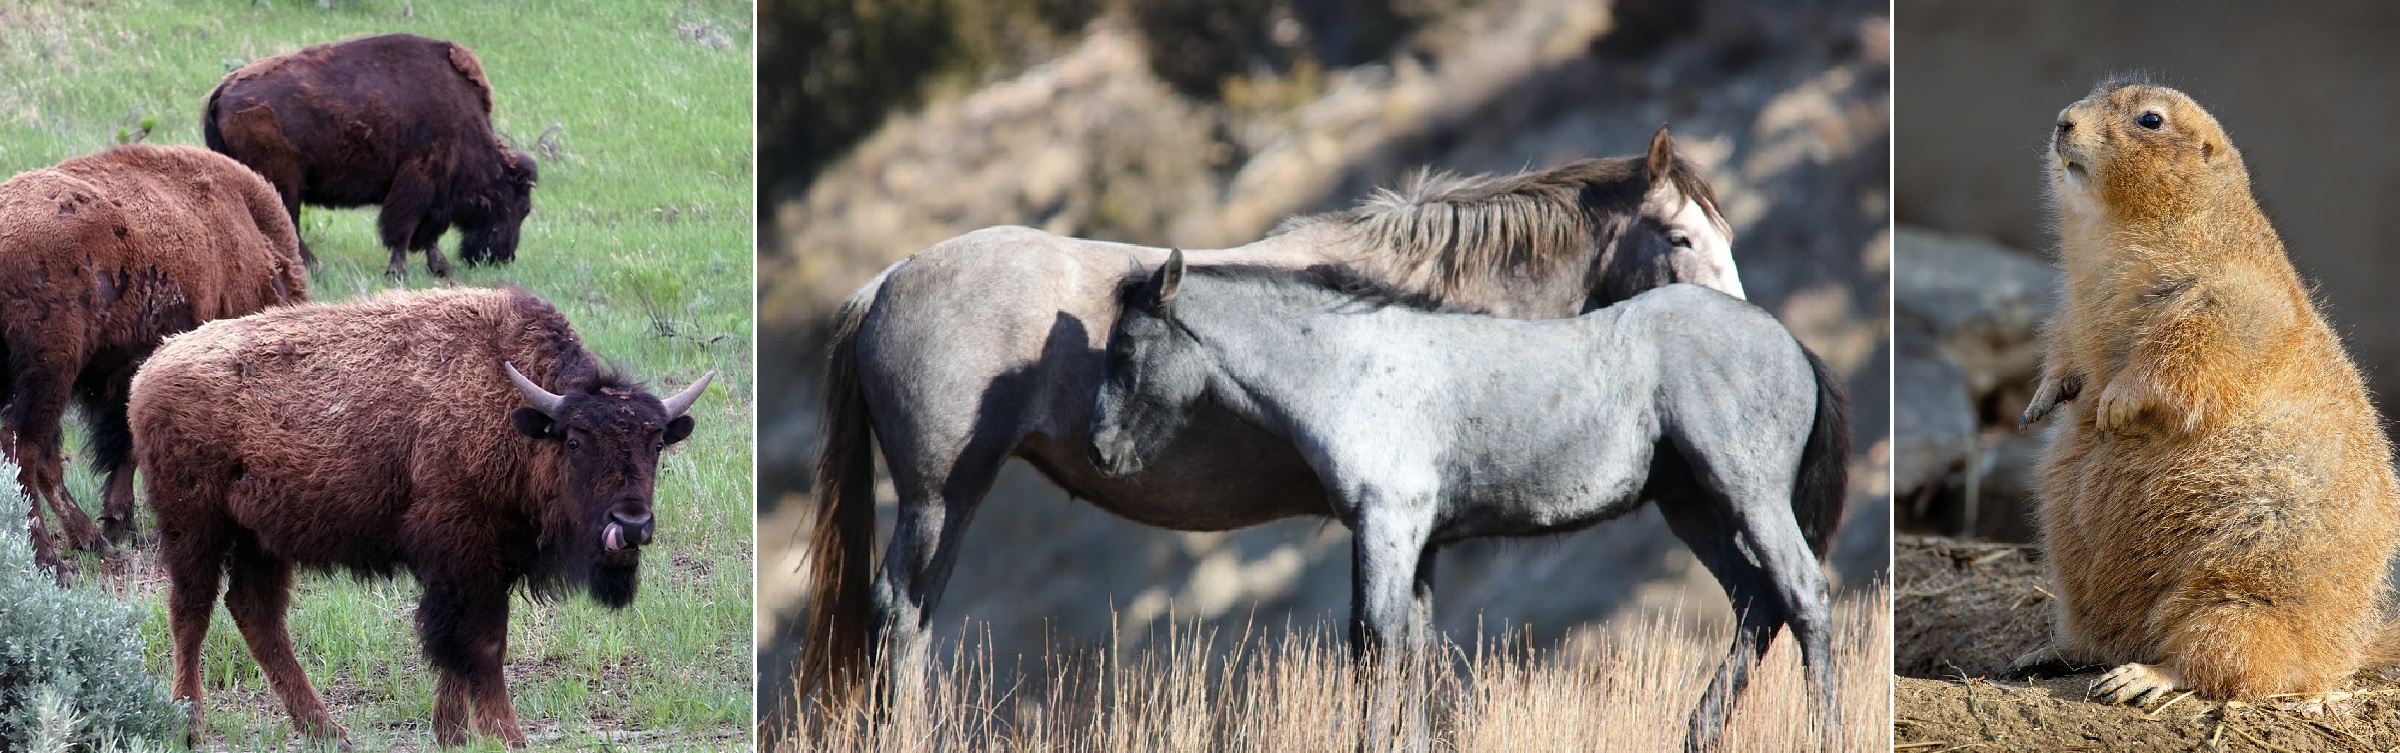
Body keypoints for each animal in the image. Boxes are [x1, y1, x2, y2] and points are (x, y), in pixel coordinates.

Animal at [0, 142, 312, 575]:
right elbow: (125, 447)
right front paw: (121, 523)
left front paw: (116, 527)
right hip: (49, 373)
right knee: (24, 450)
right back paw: (51, 560)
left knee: (39, 457)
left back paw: (87, 540)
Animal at [132, 286, 710, 748]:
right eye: (574, 441)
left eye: (656, 443)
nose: (631, 525)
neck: (514, 414)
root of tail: (151, 368)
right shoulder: (466, 557)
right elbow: (481, 643)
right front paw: (507, 736)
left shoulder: (482, 565)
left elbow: (458, 648)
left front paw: (452, 733)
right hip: (195, 527)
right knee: (191, 612)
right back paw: (190, 724)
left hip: (264, 540)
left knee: (256, 614)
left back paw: (326, 729)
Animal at [205, 33, 540, 279]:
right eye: (522, 207)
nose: (503, 256)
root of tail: (223, 89)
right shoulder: (419, 182)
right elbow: (403, 229)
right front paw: (399, 271)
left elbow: (427, 234)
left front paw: (439, 267)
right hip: (283, 183)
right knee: (289, 225)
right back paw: (315, 267)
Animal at [796, 127, 1776, 709]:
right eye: (1681, 237)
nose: (1748, 341)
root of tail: (889, 279)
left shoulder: (1412, 533)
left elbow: (1406, 649)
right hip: (939, 496)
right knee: (901, 619)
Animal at [1094, 254, 1852, 748]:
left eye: (1127, 345)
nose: (1102, 449)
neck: (1352, 367)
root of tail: (1792, 344)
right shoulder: (1419, 539)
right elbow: (1412, 645)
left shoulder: (1388, 523)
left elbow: (1374, 640)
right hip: (1693, 506)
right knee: (1757, 605)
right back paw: (1697, 732)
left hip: (1747, 493)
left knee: (1802, 592)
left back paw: (1825, 732)